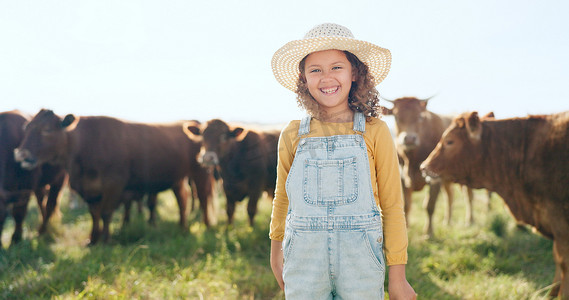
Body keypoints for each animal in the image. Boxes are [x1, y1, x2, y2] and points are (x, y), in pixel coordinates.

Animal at [0, 109, 66, 247]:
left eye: (1, 218)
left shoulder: (26, 185)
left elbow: (18, 212)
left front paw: (16, 239)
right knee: (42, 202)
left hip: (59, 178)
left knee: (51, 204)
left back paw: (42, 231)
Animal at [16, 109, 215, 245]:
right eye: (27, 128)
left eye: (47, 130)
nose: (22, 154)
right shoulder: (89, 190)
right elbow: (94, 214)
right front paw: (92, 239)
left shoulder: (114, 185)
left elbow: (105, 213)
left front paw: (105, 240)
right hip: (177, 179)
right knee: (183, 200)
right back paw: (182, 227)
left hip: (200, 172)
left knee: (203, 198)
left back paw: (206, 225)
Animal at [380, 96, 478, 237]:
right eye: (396, 117)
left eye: (420, 117)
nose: (409, 139)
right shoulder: (402, 178)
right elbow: (406, 205)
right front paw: (406, 229)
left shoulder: (434, 179)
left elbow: (429, 205)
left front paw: (429, 233)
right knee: (450, 196)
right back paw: (447, 221)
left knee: (468, 196)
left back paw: (470, 221)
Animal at [422, 110, 568, 298]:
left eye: (449, 141)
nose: (423, 167)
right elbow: (557, 260)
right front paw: (551, 292)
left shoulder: (561, 225)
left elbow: (563, 262)